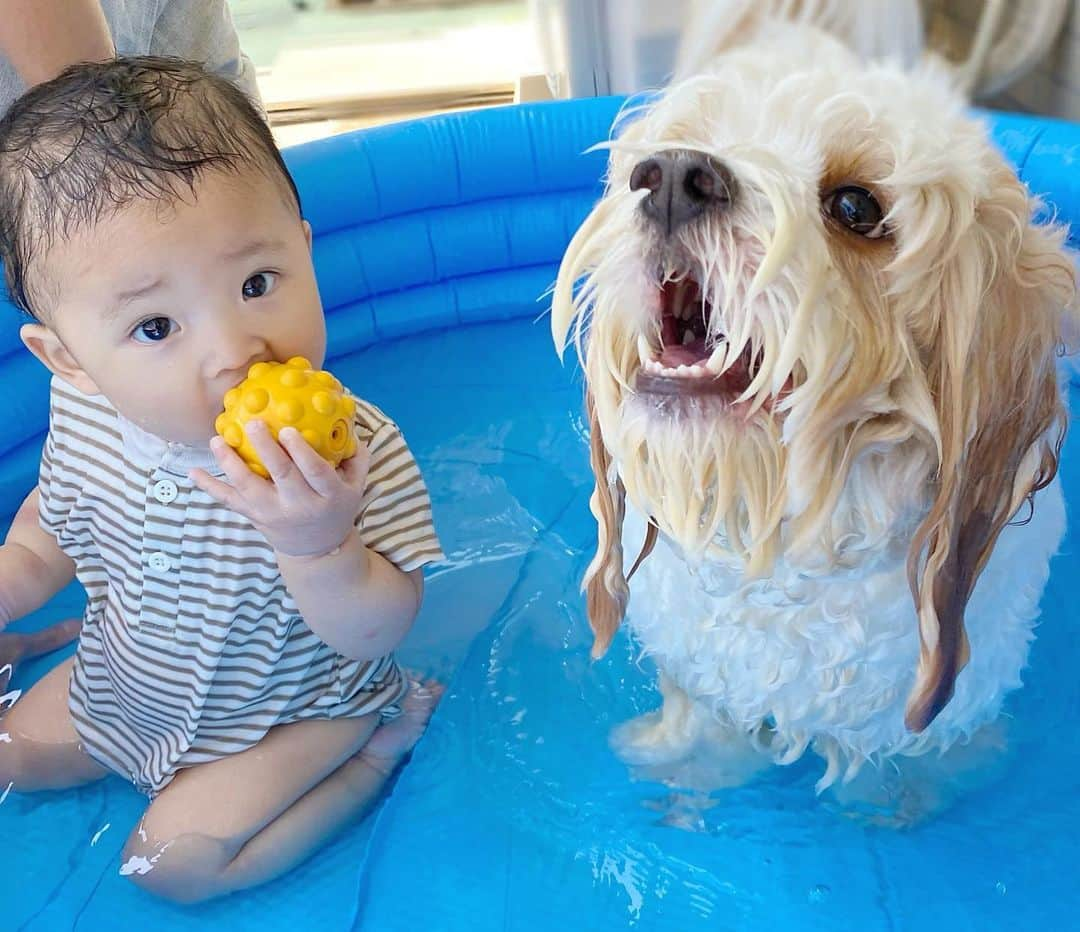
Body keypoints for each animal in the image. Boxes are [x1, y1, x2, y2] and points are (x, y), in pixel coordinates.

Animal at [552, 5, 1075, 807]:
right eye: (684, 143)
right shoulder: (701, 683)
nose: (669, 178)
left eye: (856, 206)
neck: (785, 550)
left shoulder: (927, 730)